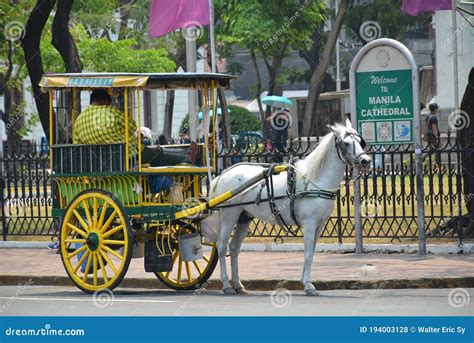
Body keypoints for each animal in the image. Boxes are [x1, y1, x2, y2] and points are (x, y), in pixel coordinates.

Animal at [200, 120, 370, 296]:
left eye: (360, 141)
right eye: (346, 143)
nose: (366, 160)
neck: (314, 179)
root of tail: (223, 174)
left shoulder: (319, 224)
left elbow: (311, 252)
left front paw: (305, 281)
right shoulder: (309, 223)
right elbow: (307, 254)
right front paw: (308, 285)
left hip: (244, 217)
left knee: (234, 248)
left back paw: (238, 285)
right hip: (229, 215)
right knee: (221, 246)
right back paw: (226, 284)